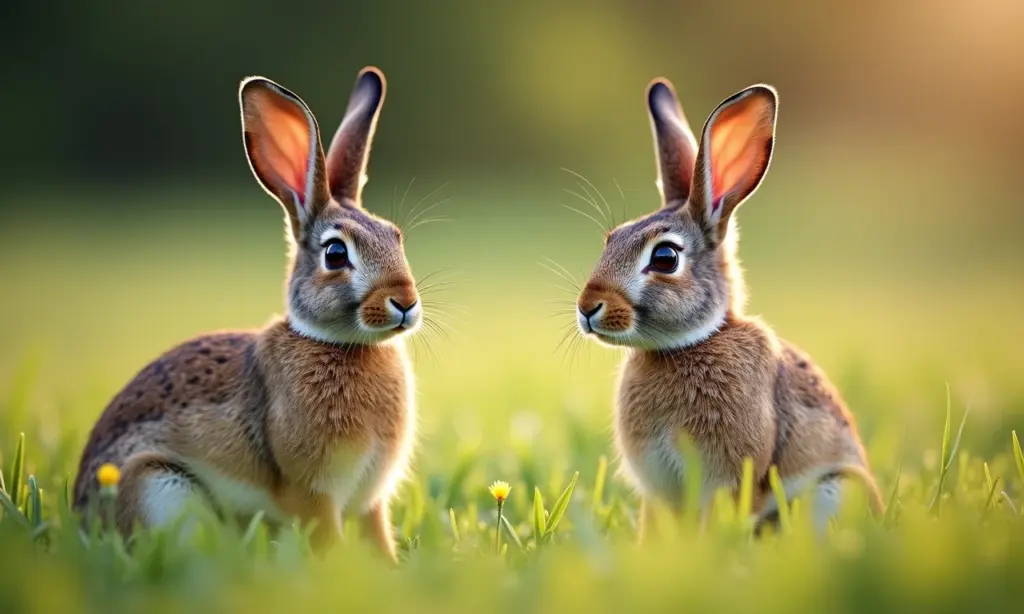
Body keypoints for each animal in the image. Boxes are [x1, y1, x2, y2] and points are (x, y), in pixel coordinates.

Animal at [73, 67, 421, 562]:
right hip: (156, 484)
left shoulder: (370, 501)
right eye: (336, 254)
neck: (340, 345)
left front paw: (389, 568)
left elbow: (376, 537)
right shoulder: (313, 493)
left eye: (396, 237)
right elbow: (327, 538)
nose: (405, 302)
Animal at [574, 77, 884, 538]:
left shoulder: (726, 479)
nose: (587, 307)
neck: (685, 346)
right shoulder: (660, 490)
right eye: (611, 240)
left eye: (664, 258)